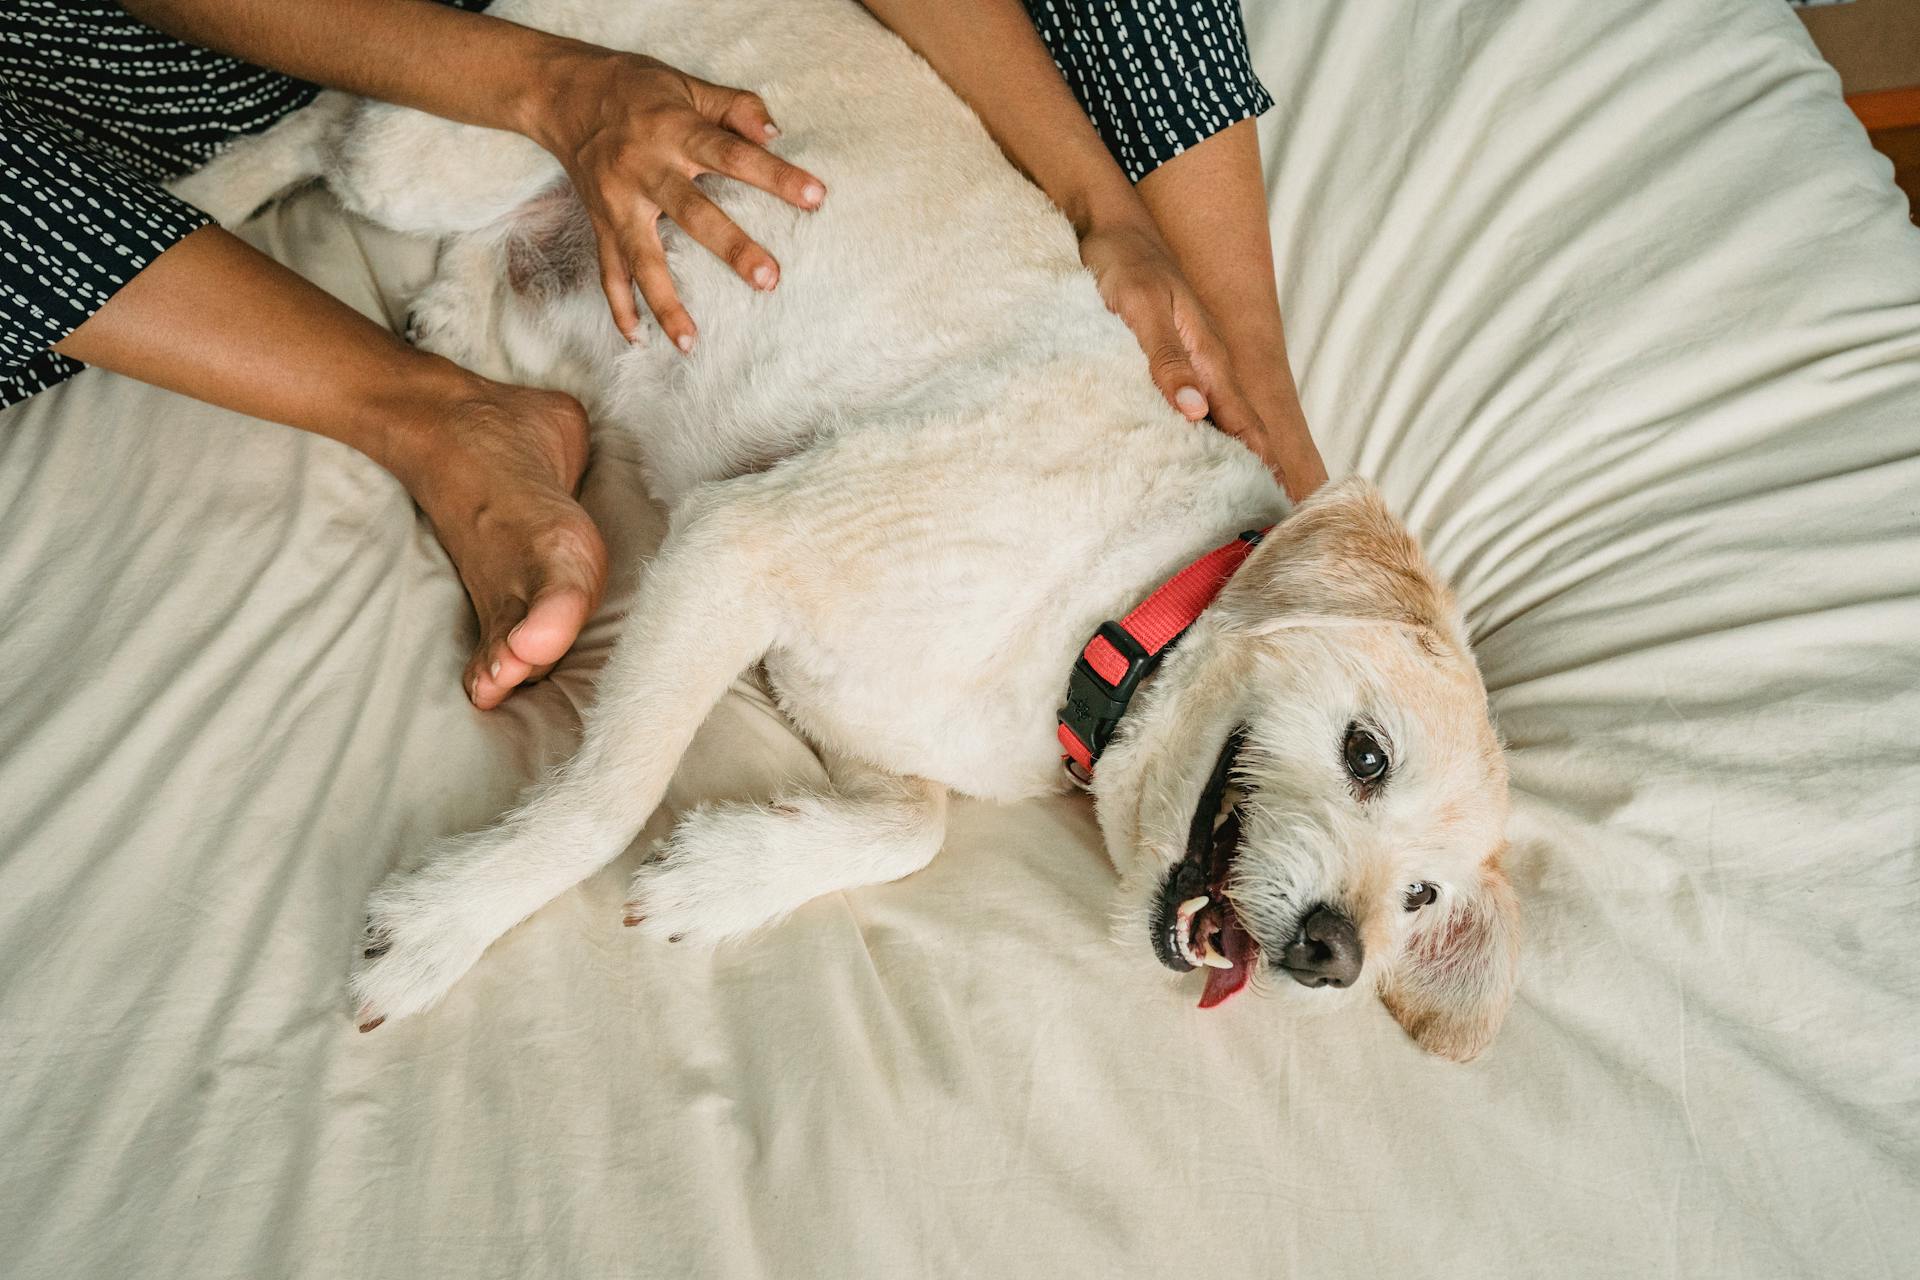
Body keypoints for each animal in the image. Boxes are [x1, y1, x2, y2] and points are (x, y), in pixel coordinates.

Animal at [194, 0, 1512, 1059]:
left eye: (1423, 898)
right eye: (1366, 752)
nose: (1337, 955)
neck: (1122, 610)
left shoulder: (841, 701)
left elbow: (911, 829)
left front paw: (719, 878)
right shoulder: (741, 543)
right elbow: (605, 798)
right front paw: (448, 923)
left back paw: (452, 313)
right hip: (436, 149)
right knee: (321, 126)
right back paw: (201, 198)